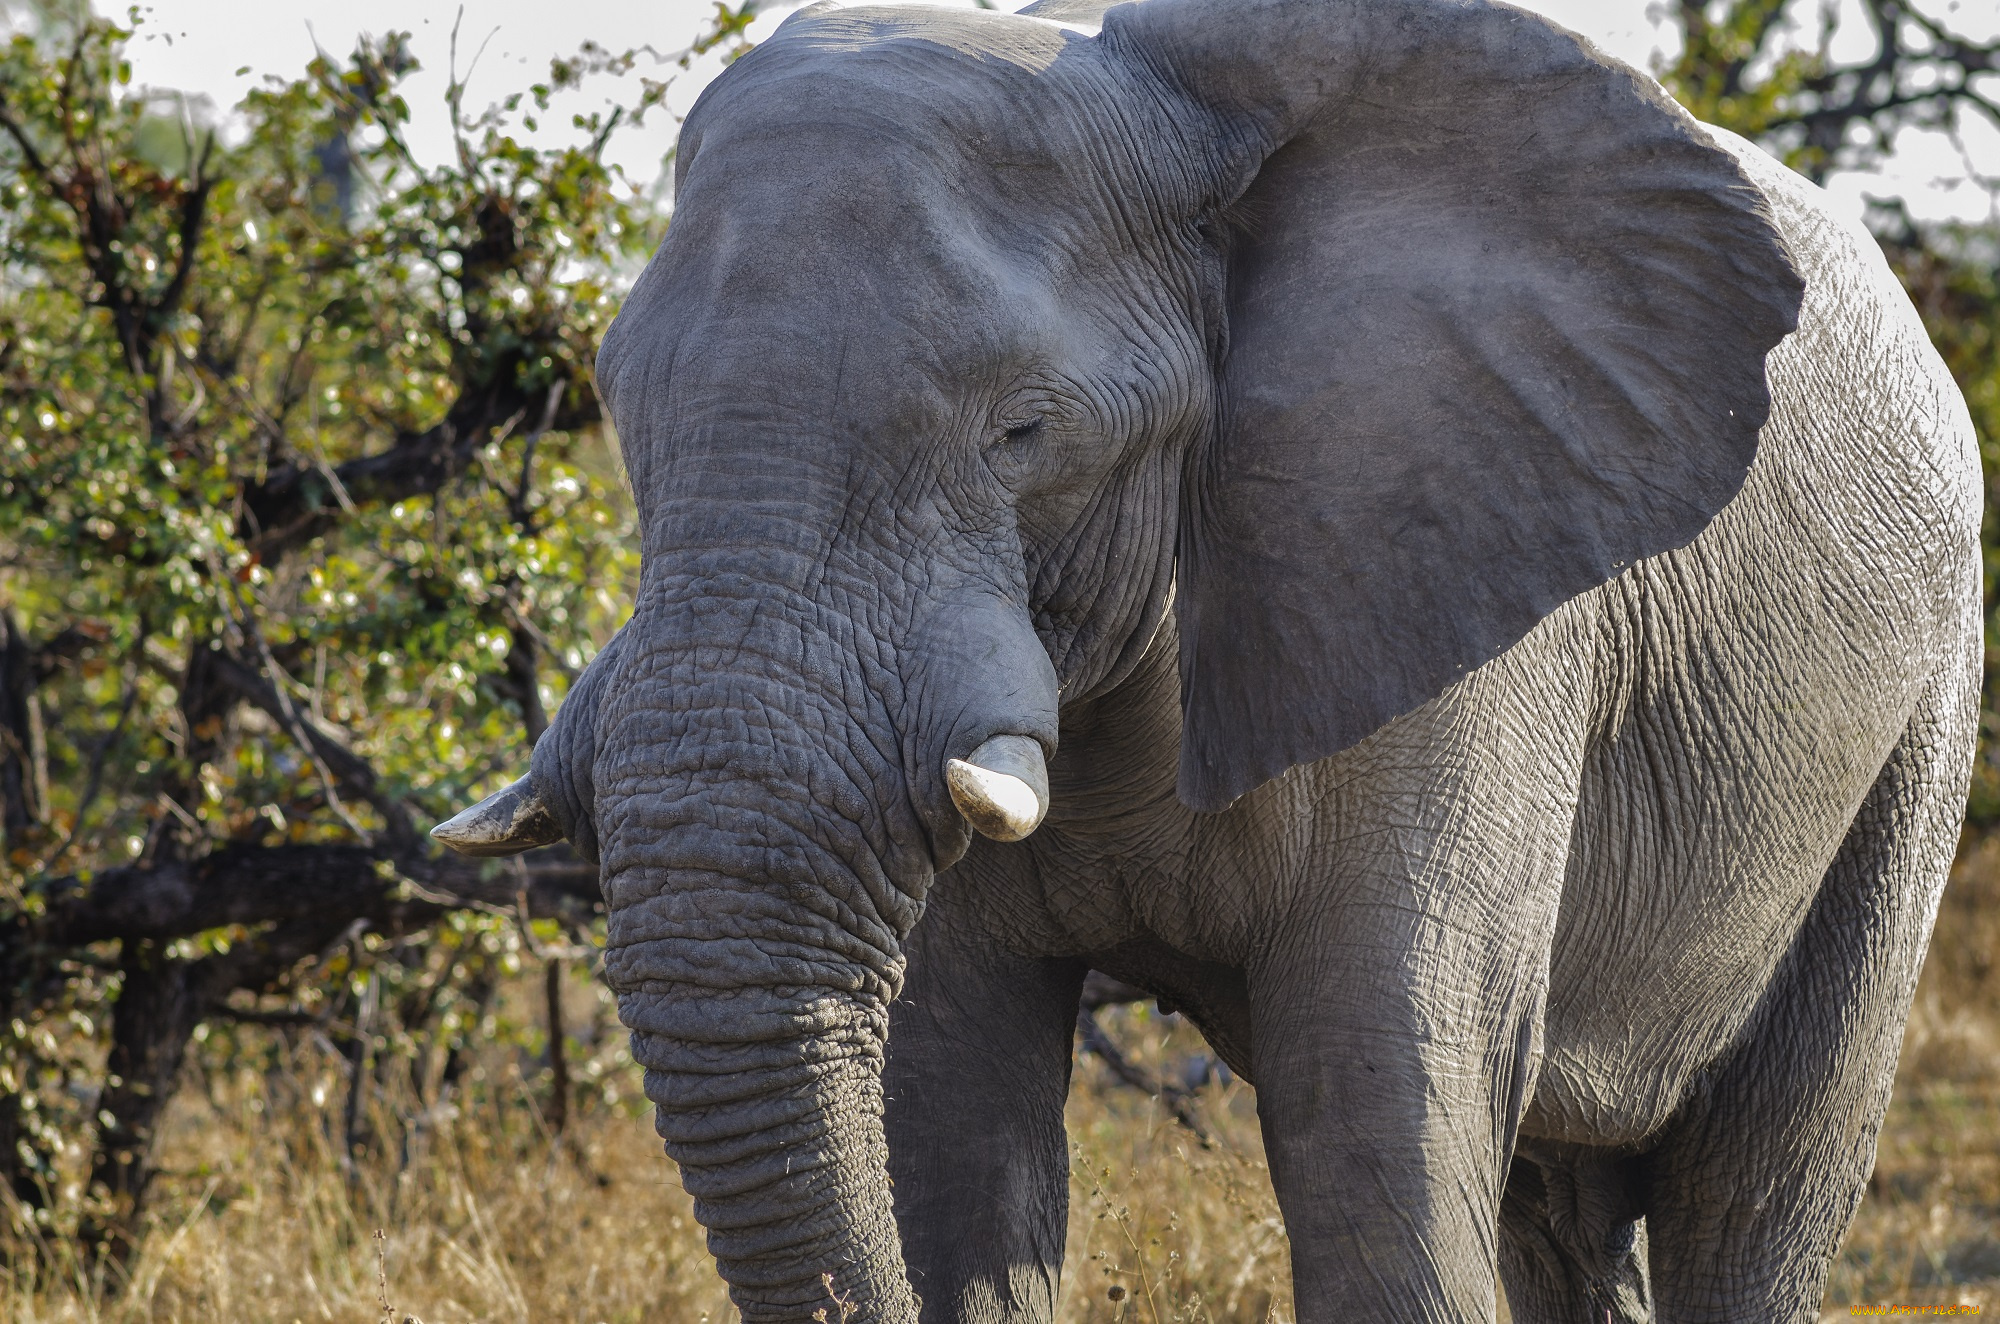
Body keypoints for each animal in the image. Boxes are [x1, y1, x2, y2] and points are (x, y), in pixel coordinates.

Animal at [430, 0, 1976, 1320]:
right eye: (614, 403)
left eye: (1023, 433)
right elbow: (950, 1107)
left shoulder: (1456, 597)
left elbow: (1370, 1095)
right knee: (1562, 1212)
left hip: (1922, 715)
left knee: (1750, 1193)